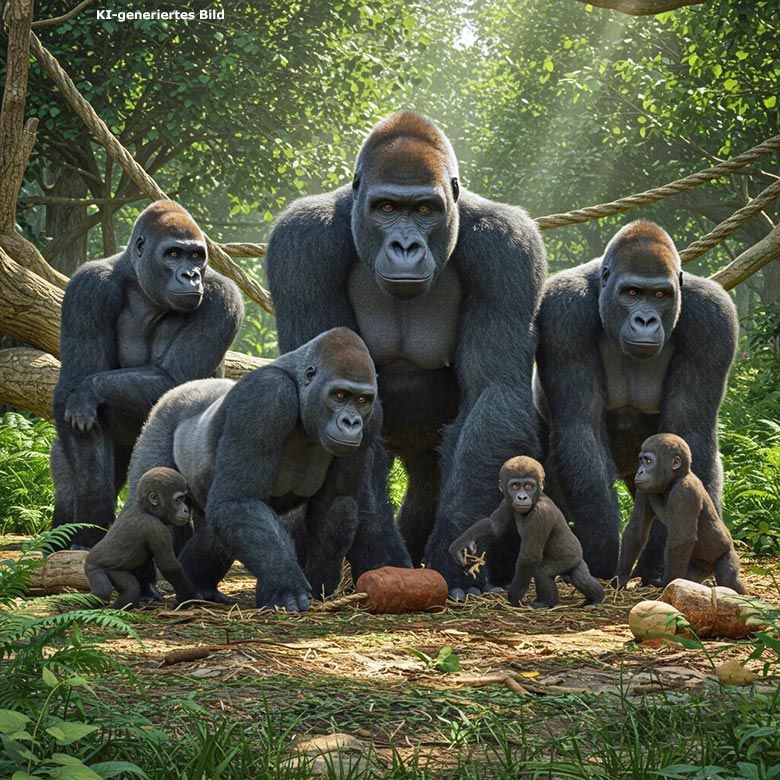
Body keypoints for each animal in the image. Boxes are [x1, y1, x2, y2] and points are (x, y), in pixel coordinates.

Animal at [84, 467, 200, 608]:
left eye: (184, 499)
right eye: (179, 500)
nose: (186, 510)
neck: (147, 509)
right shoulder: (156, 528)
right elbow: (169, 566)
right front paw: (189, 597)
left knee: (129, 587)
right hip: (93, 568)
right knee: (104, 591)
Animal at [449, 456, 604, 608]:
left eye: (529, 486)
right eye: (515, 486)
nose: (522, 497)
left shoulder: (540, 514)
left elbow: (529, 558)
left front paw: (514, 596)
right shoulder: (507, 502)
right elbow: (493, 528)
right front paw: (462, 543)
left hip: (571, 557)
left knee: (545, 572)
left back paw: (549, 602)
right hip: (573, 562)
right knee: (579, 576)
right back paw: (592, 597)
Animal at [617, 433, 745, 593]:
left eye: (648, 461)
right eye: (641, 461)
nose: (639, 471)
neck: (675, 478)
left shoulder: (685, 491)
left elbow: (681, 539)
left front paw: (666, 585)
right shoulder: (644, 489)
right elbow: (637, 528)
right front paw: (620, 578)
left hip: (727, 551)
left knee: (727, 578)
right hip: (700, 566)